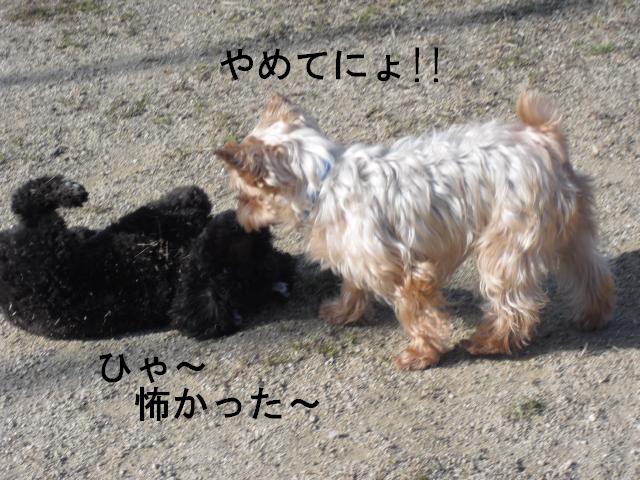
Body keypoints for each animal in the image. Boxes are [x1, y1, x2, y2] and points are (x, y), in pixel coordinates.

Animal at [0, 175, 294, 339]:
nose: (251, 226)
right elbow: (180, 207)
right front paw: (189, 202)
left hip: (46, 244)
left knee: (28, 203)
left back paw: (66, 191)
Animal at [215, 91, 615, 370]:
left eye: (242, 194)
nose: (239, 219)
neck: (325, 179)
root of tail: (543, 140)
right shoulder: (356, 253)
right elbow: (353, 284)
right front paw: (343, 312)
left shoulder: (408, 272)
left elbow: (417, 315)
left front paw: (421, 354)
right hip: (570, 230)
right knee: (592, 271)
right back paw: (593, 315)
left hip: (507, 241)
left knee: (514, 305)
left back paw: (489, 342)